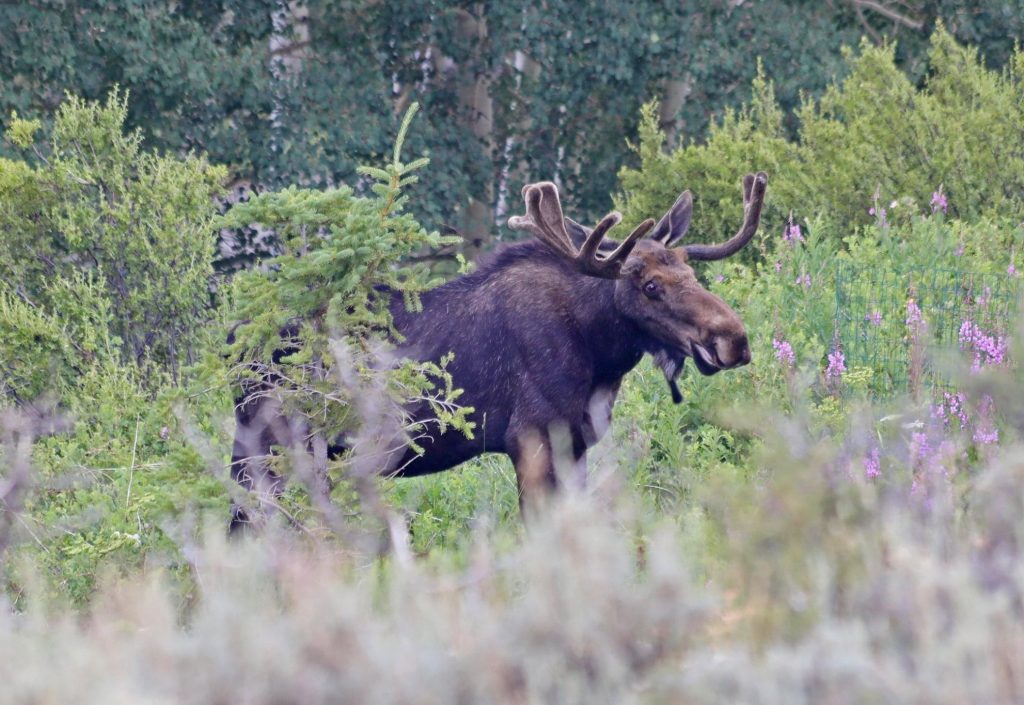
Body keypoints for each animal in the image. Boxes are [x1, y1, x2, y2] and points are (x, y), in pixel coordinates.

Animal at [229, 172, 767, 527]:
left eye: (691, 273)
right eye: (652, 286)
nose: (734, 339)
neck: (599, 353)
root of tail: (235, 346)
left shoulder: (576, 444)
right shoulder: (530, 438)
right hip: (272, 447)